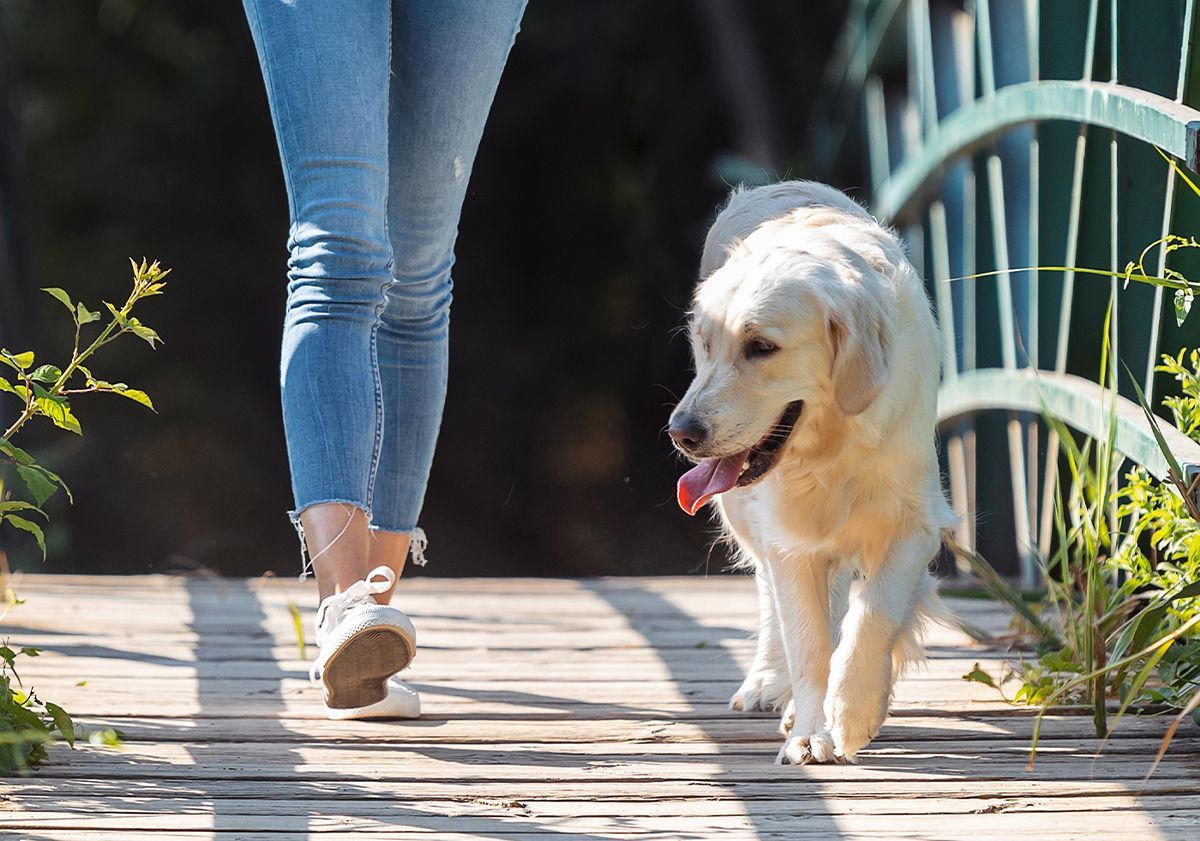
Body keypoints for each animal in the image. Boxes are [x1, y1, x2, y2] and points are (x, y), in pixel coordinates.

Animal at [672, 179, 950, 763]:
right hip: (741, 507)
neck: (833, 447)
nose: (681, 432)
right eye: (706, 342)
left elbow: (874, 611)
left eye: (762, 347)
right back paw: (768, 683)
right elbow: (807, 639)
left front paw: (856, 709)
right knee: (770, 597)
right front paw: (811, 730)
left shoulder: (914, 520)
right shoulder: (790, 536)